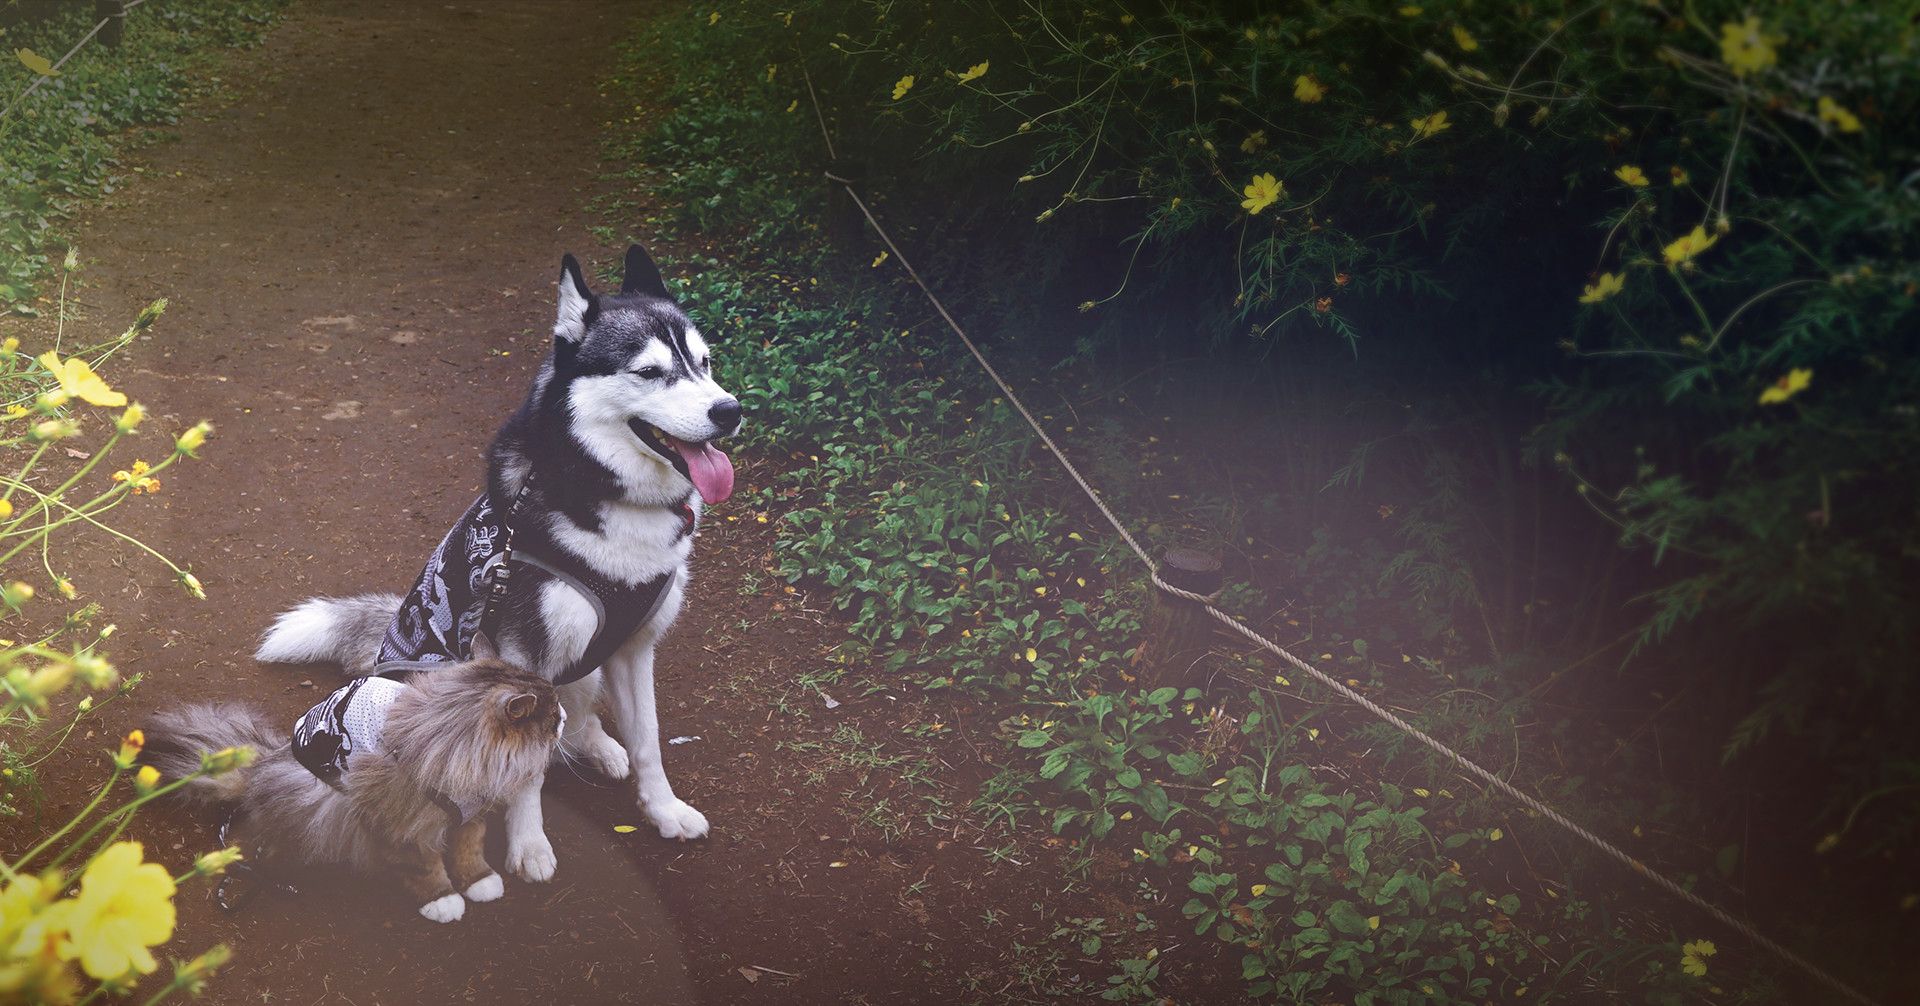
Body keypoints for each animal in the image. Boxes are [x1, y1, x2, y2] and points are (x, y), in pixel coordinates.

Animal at [142, 648, 560, 925]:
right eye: (553, 717)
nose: (567, 715)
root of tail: (264, 762)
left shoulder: (470, 815)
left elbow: (469, 852)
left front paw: (480, 882)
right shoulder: (401, 827)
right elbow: (426, 869)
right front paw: (443, 901)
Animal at [255, 247, 733, 883]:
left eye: (705, 364)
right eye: (651, 372)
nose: (730, 411)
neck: (606, 495)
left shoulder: (635, 646)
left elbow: (650, 740)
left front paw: (664, 810)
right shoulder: (524, 660)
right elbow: (527, 762)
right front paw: (529, 847)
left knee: (582, 714)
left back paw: (600, 746)